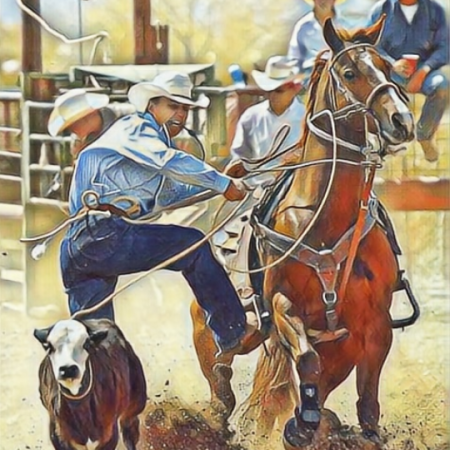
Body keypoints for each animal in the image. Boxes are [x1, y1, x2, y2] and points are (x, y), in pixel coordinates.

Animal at [34, 318, 147, 450]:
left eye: (86, 344)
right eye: (49, 347)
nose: (68, 369)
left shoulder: (110, 435)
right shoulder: (57, 436)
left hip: (135, 405)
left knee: (129, 430)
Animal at [190, 15, 415, 448]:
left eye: (388, 67)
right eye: (350, 72)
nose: (402, 121)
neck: (325, 217)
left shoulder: (374, 324)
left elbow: (367, 398)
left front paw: (353, 428)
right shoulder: (282, 305)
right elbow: (306, 359)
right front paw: (302, 423)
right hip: (220, 331)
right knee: (221, 384)